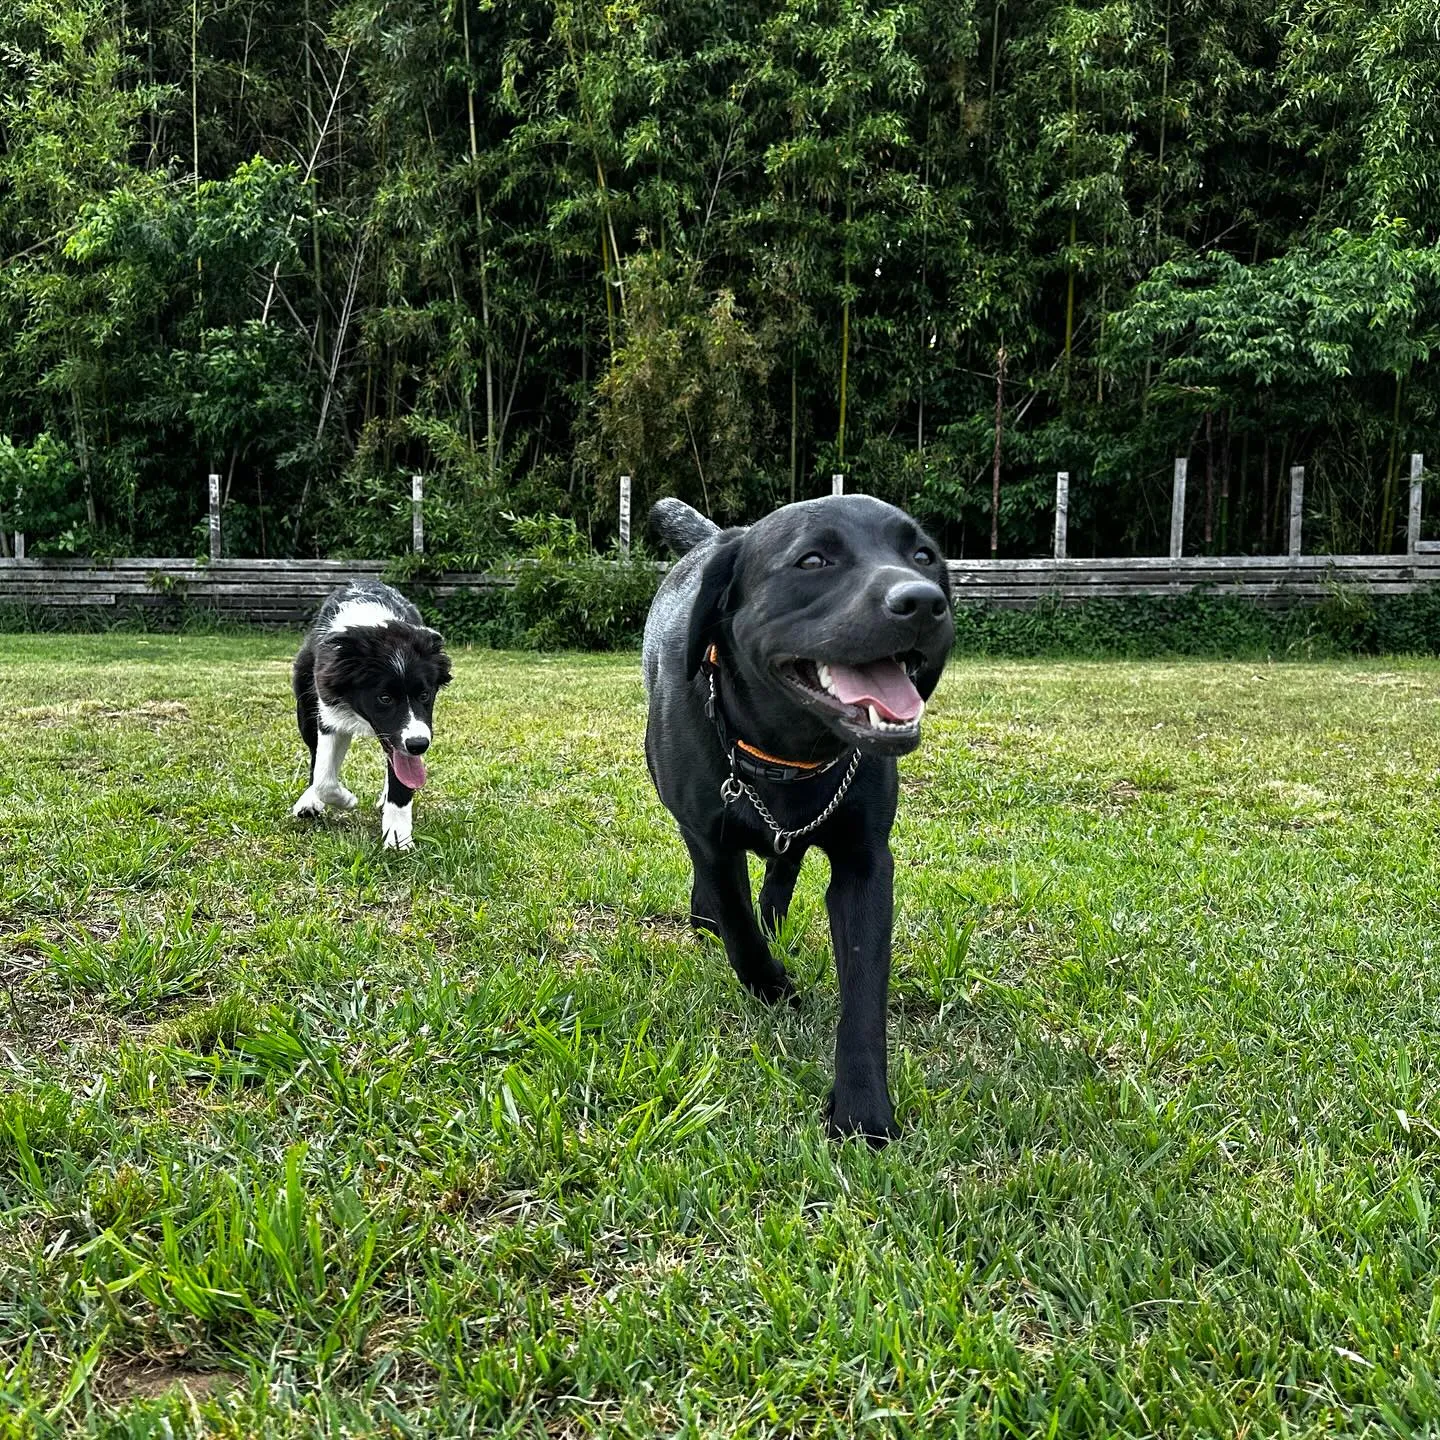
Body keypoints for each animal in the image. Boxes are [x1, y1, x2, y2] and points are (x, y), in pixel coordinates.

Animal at [288, 576, 449, 846]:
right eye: (384, 698)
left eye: (425, 695)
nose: (419, 745)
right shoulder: (329, 713)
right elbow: (324, 777)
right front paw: (346, 800)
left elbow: (401, 776)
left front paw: (398, 838)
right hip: (305, 704)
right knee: (315, 755)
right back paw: (310, 800)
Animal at [645, 495, 956, 1134]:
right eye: (812, 560)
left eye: (922, 555)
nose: (922, 601)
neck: (788, 754)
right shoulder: (711, 839)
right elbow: (737, 924)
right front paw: (770, 987)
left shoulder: (865, 862)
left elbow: (864, 986)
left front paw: (863, 1111)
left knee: (782, 865)